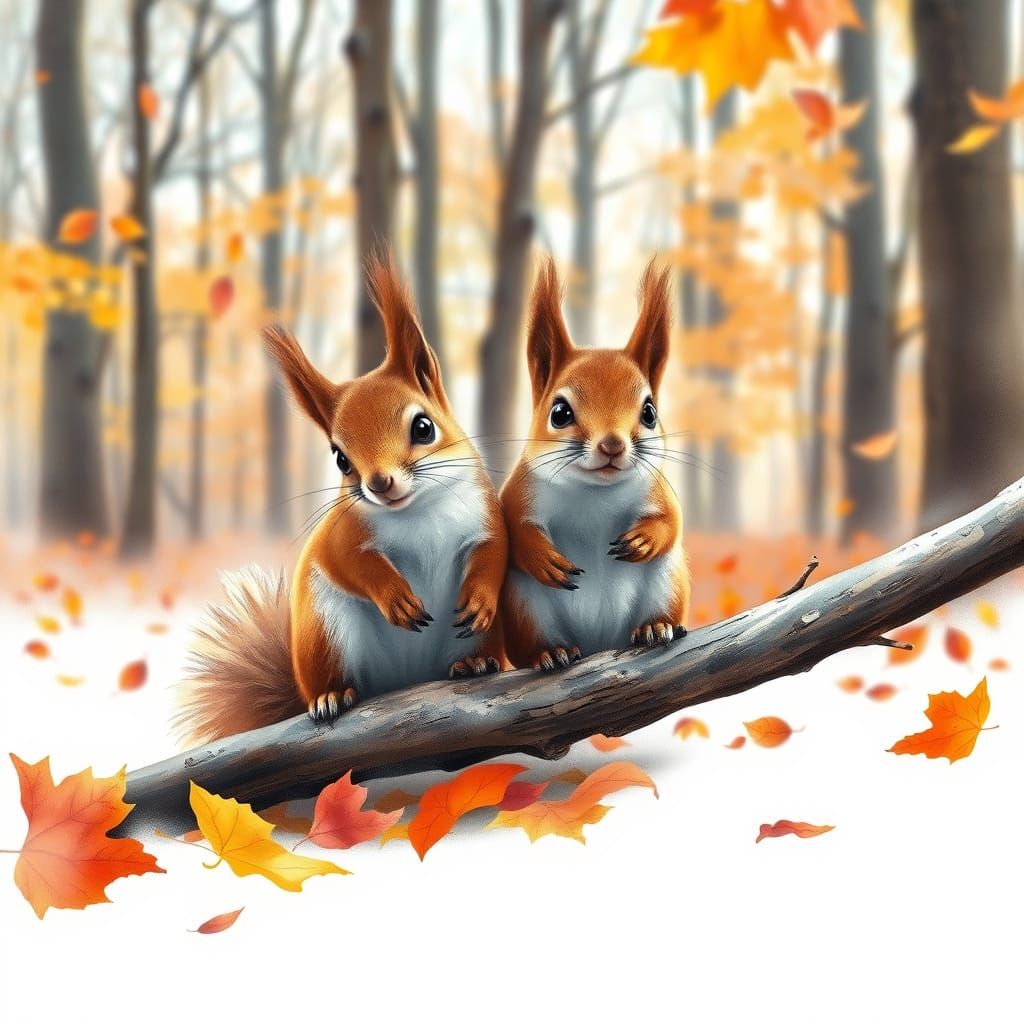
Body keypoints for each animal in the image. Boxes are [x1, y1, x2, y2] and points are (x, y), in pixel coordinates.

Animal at [176, 255, 508, 745]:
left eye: (424, 427)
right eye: (340, 458)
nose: (380, 483)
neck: (416, 511)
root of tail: (409, 680)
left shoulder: (486, 514)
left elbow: (494, 551)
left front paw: (481, 598)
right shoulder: (340, 532)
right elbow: (347, 561)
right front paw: (396, 598)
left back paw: (474, 663)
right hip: (325, 633)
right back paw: (332, 696)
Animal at [499, 258, 691, 670]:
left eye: (649, 412)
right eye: (559, 412)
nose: (612, 445)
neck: (595, 491)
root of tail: (599, 643)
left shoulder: (658, 488)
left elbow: (672, 519)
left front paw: (643, 540)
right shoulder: (519, 491)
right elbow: (514, 531)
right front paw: (543, 559)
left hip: (668, 582)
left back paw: (655, 628)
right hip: (524, 607)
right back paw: (552, 652)